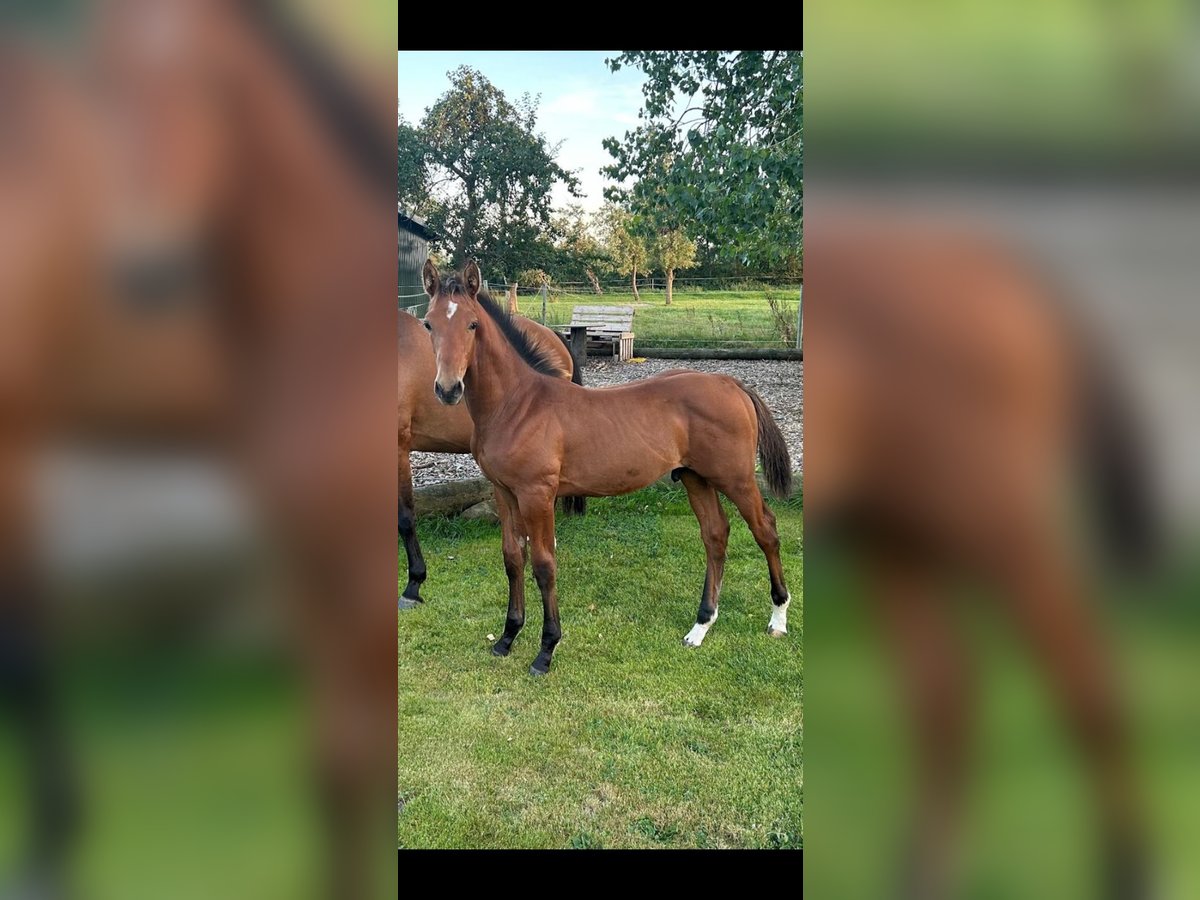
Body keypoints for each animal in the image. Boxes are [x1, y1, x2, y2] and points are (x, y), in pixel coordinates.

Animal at [422, 256, 796, 672]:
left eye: (472, 324)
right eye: (429, 323)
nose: (448, 389)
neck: (517, 405)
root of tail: (730, 383)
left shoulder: (538, 495)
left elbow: (544, 565)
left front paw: (546, 650)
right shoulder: (504, 493)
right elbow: (512, 559)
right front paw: (507, 637)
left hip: (736, 478)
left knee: (766, 530)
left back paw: (778, 618)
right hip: (695, 477)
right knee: (715, 534)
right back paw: (700, 627)